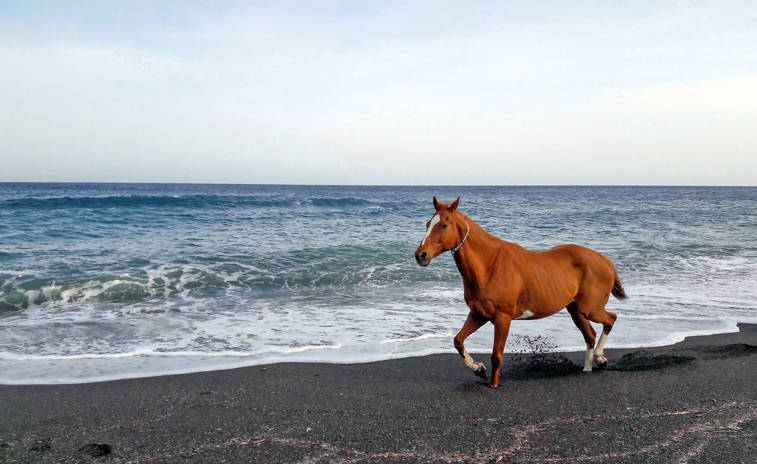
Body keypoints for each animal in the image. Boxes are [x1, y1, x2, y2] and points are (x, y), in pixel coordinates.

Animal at [414, 196, 627, 388]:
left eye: (443, 225)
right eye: (427, 224)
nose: (420, 255)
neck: (489, 265)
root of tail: (605, 260)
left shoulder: (502, 318)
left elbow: (496, 355)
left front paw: (493, 384)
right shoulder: (478, 315)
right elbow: (458, 341)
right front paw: (479, 369)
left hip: (590, 309)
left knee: (610, 319)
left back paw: (600, 358)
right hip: (575, 310)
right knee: (590, 334)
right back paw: (588, 367)